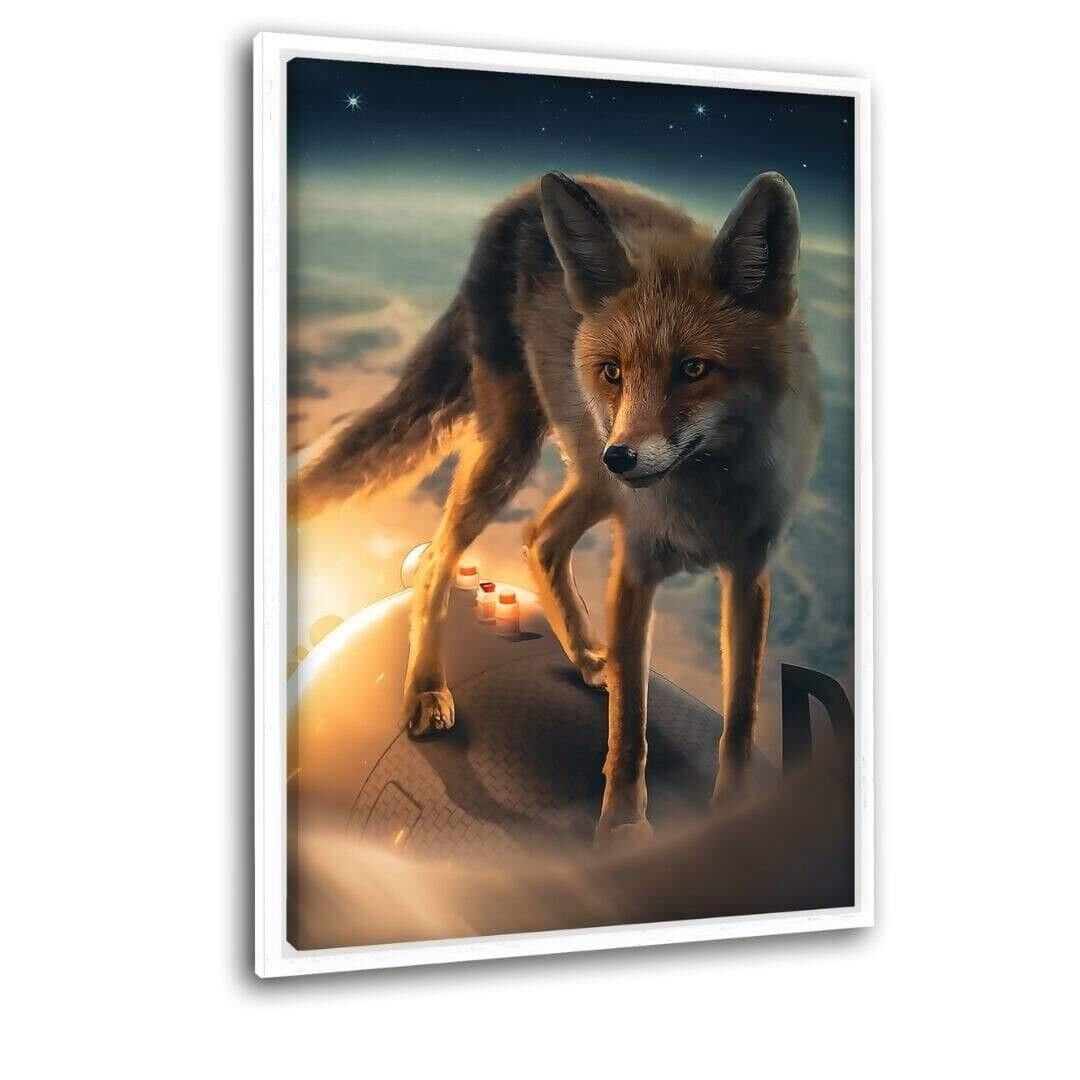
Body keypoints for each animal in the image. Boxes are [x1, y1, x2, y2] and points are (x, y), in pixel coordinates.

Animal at [292, 170, 822, 850]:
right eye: (613, 372)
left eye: (694, 368)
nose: (623, 455)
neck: (704, 498)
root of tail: (515, 201)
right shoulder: (635, 567)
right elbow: (630, 731)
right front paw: (622, 828)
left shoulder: (748, 573)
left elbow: (741, 715)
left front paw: (732, 809)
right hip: (518, 449)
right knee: (440, 557)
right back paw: (428, 690)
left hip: (588, 475)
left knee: (540, 537)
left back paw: (589, 657)